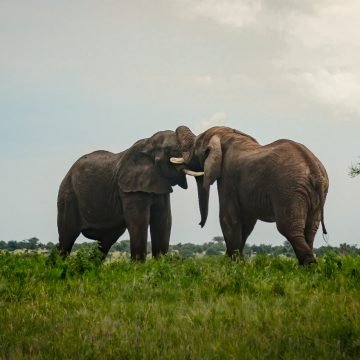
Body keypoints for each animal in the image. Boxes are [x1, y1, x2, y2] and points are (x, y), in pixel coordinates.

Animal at [57, 129, 198, 258]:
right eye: (168, 150)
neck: (147, 144)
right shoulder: (129, 189)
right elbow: (139, 223)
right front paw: (138, 267)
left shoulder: (161, 187)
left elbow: (164, 222)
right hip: (68, 196)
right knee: (66, 238)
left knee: (105, 243)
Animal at [172, 126, 330, 264]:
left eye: (195, 147)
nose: (199, 224)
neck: (227, 135)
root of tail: (313, 167)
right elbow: (247, 222)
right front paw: (238, 262)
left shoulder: (227, 177)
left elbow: (228, 218)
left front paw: (231, 264)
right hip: (314, 193)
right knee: (310, 229)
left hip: (288, 189)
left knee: (289, 228)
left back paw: (309, 266)